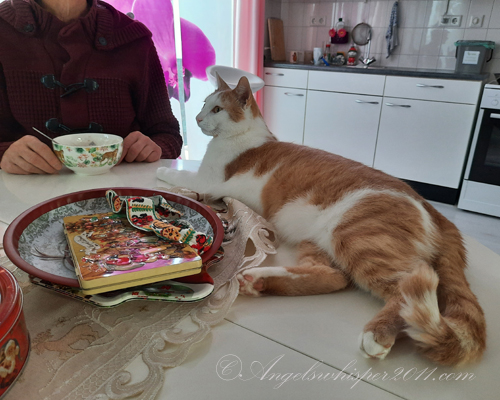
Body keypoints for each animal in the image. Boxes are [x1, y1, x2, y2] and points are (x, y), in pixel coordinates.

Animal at [157, 74, 486, 366]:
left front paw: (162, 172)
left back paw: (378, 334)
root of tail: (432, 207)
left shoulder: (209, 181)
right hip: (316, 239)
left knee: (406, 286)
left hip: (356, 236)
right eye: (204, 105)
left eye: (217, 109)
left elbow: (181, 175)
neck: (245, 137)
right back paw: (260, 281)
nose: (197, 118)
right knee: (333, 277)